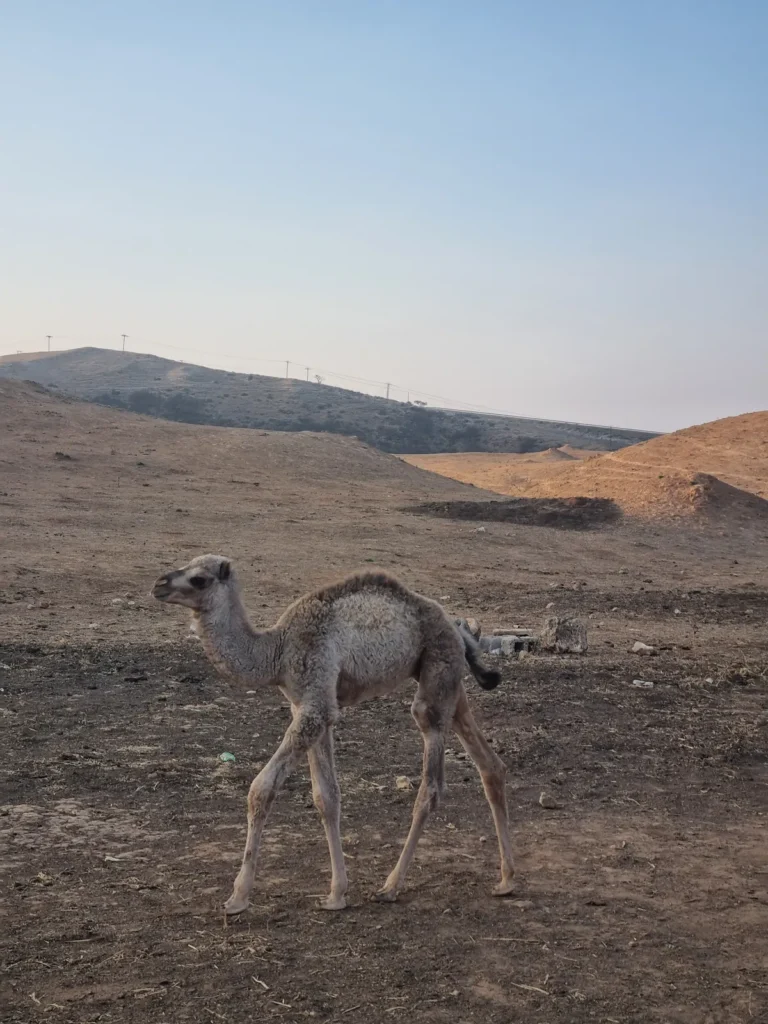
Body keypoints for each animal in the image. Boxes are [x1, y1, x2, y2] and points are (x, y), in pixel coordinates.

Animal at [151, 554, 515, 914]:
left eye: (199, 579)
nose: (159, 584)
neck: (276, 651)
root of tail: (457, 627)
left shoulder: (316, 702)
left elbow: (261, 788)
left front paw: (238, 897)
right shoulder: (308, 706)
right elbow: (326, 796)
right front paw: (337, 893)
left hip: (436, 674)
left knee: (432, 783)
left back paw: (391, 886)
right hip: (448, 679)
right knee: (490, 764)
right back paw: (506, 880)